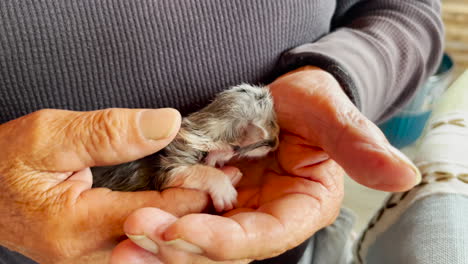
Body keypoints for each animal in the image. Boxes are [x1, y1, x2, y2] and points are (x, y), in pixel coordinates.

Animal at [93, 84, 280, 212]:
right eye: (269, 141)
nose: (277, 143)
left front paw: (218, 159)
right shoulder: (171, 166)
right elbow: (204, 172)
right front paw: (225, 190)